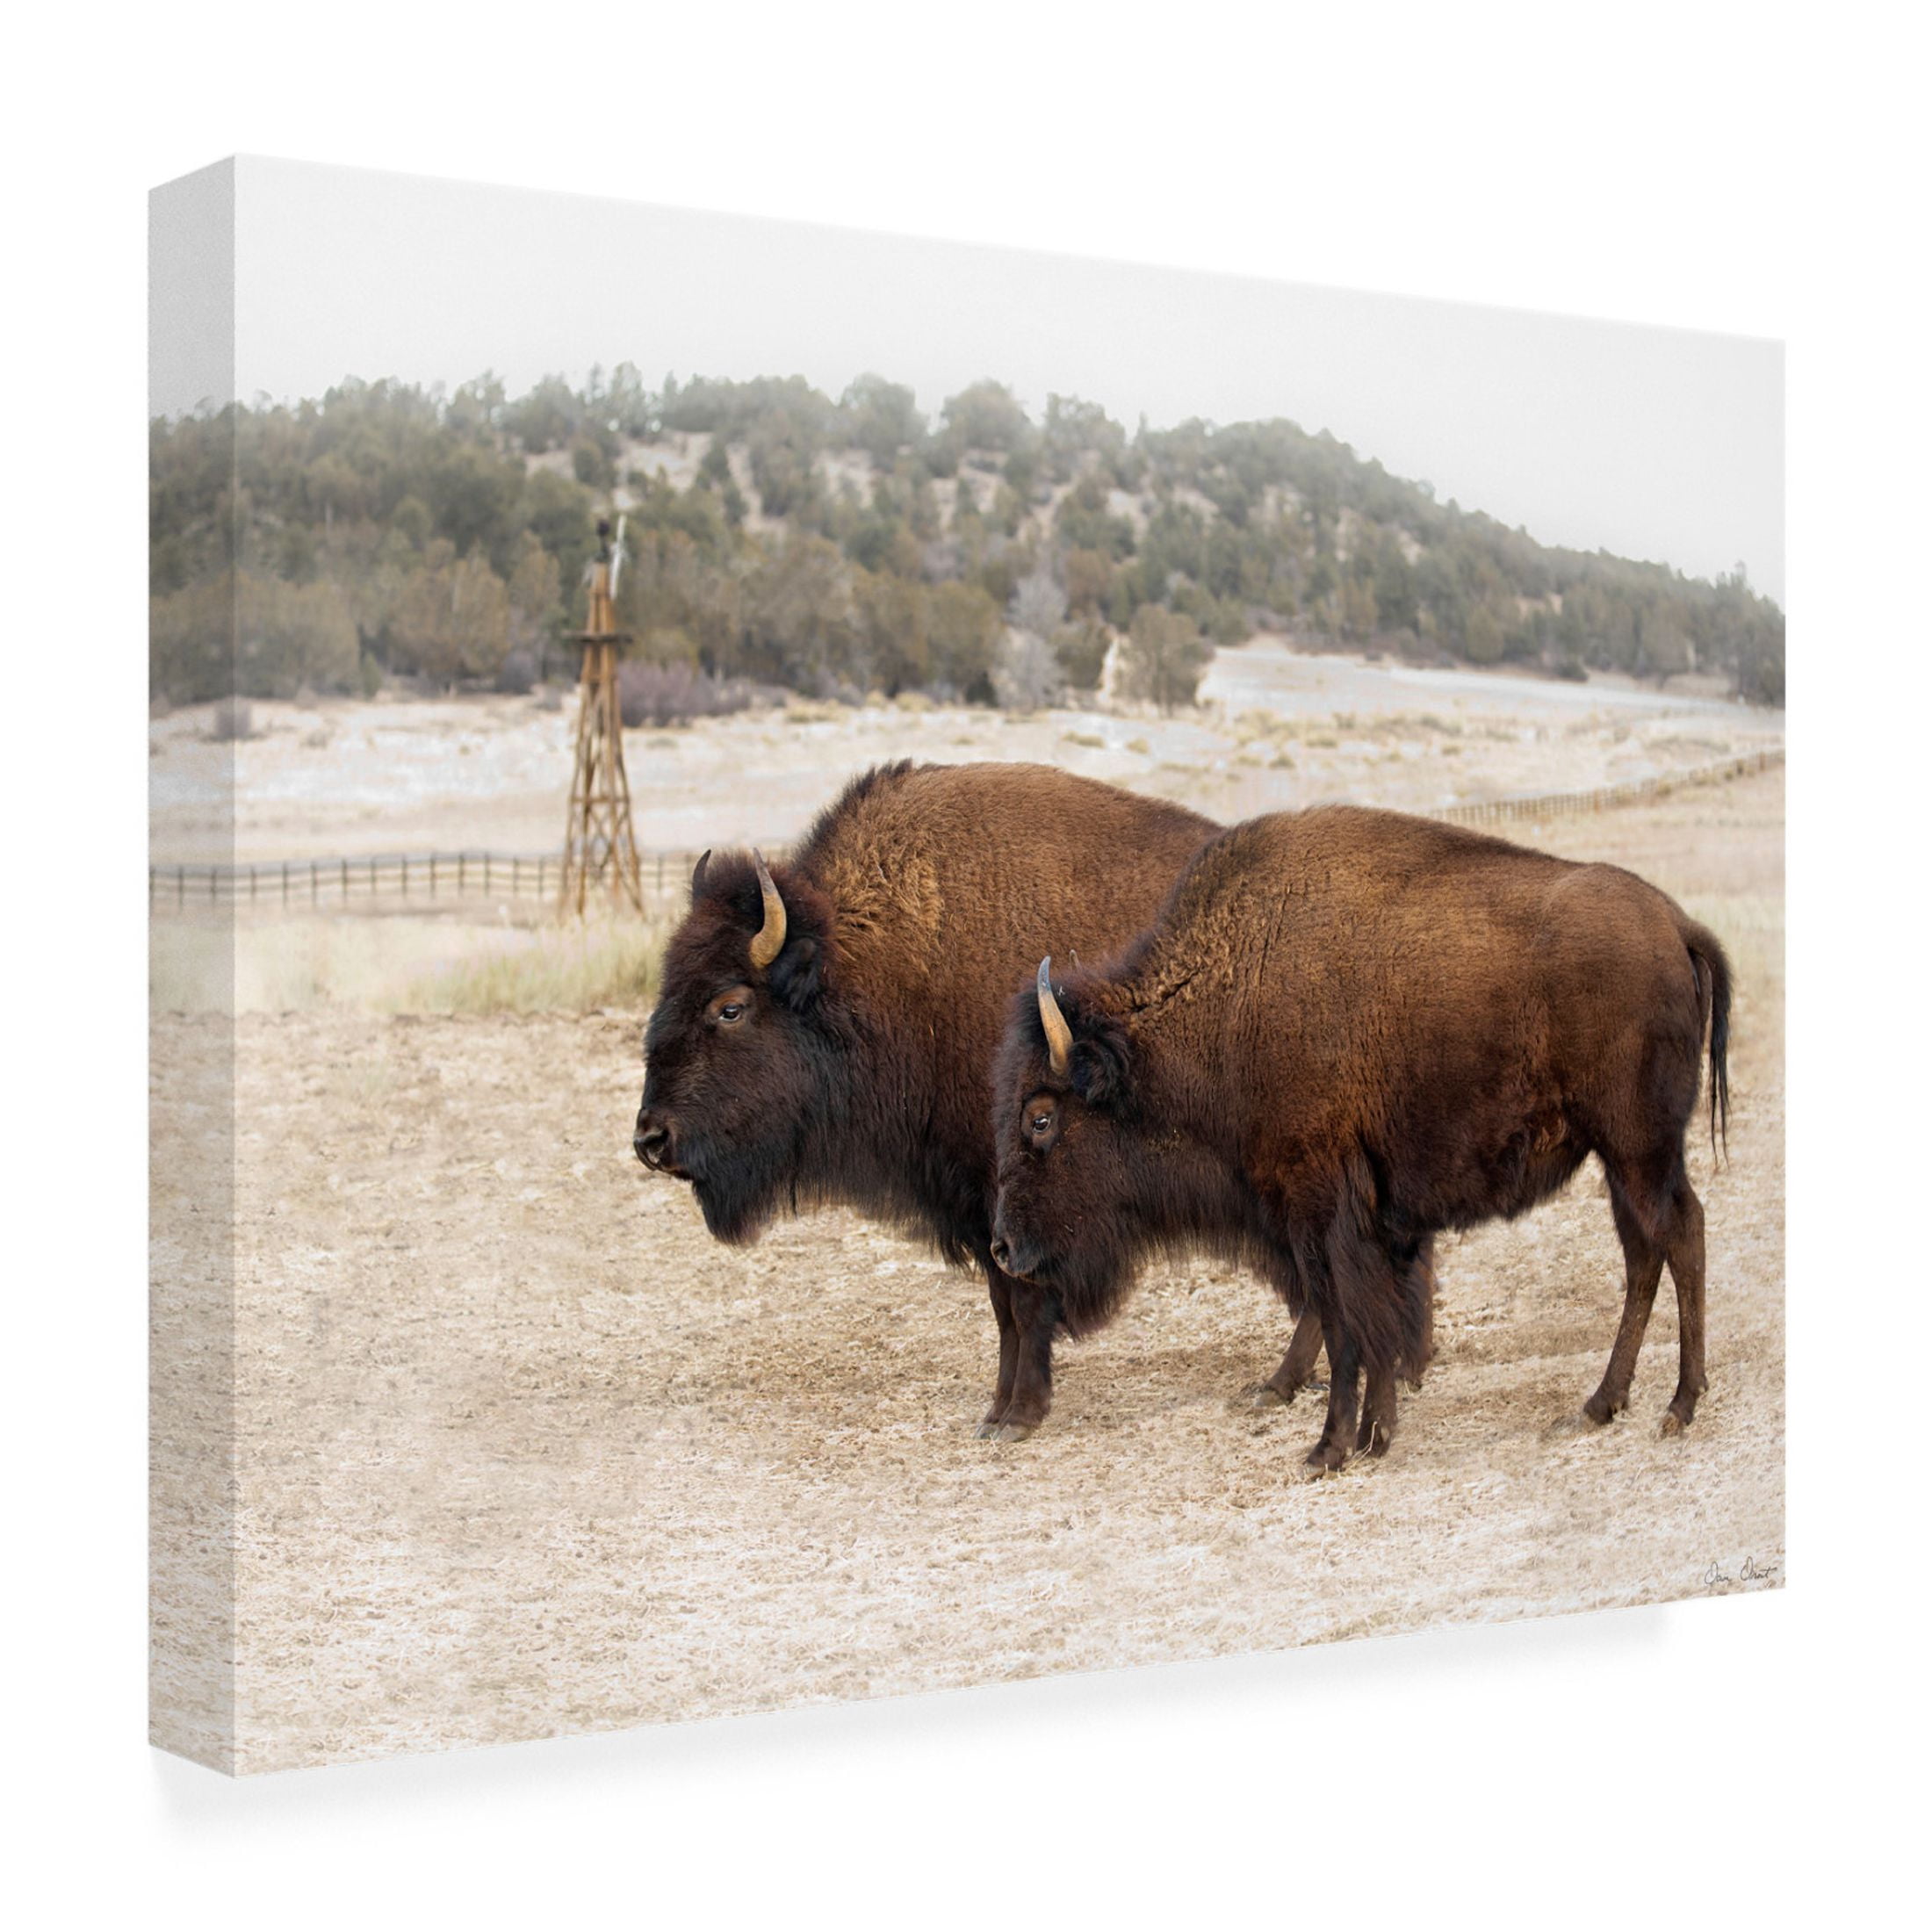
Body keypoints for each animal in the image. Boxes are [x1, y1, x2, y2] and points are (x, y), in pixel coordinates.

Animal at [632, 761, 1333, 1436]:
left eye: (730, 1006)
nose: (650, 1140)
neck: (882, 965)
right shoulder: (980, 1205)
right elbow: (1003, 1307)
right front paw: (996, 1413)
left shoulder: (1011, 1189)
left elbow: (1022, 1300)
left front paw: (1019, 1417)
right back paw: (1284, 1384)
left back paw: (1280, 1384)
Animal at [989, 803, 1732, 1471]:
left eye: (1041, 1118)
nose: (1001, 1246)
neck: (1228, 999)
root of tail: (1677, 924)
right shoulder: (1373, 1219)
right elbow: (1377, 1318)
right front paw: (1375, 1437)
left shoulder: (1318, 1211)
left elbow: (1344, 1320)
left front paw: (1328, 1449)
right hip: (1623, 1157)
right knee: (1646, 1253)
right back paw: (1599, 1406)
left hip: (1639, 1148)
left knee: (1680, 1236)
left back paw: (1679, 1406)